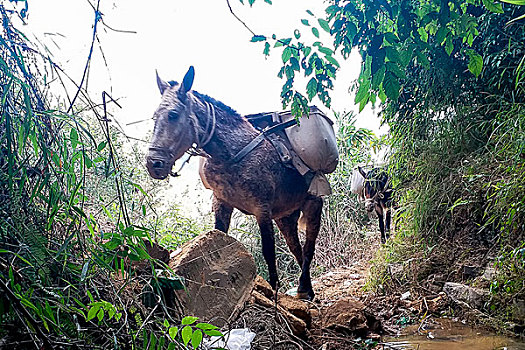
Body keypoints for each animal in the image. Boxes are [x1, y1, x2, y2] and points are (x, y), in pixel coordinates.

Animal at [145, 66, 322, 300]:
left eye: (173, 115)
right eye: (154, 117)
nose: (153, 163)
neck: (230, 154)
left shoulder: (262, 208)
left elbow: (268, 251)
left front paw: (273, 290)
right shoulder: (222, 202)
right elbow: (219, 238)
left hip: (313, 206)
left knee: (309, 247)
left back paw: (303, 288)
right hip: (286, 217)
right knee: (297, 249)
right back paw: (306, 290)